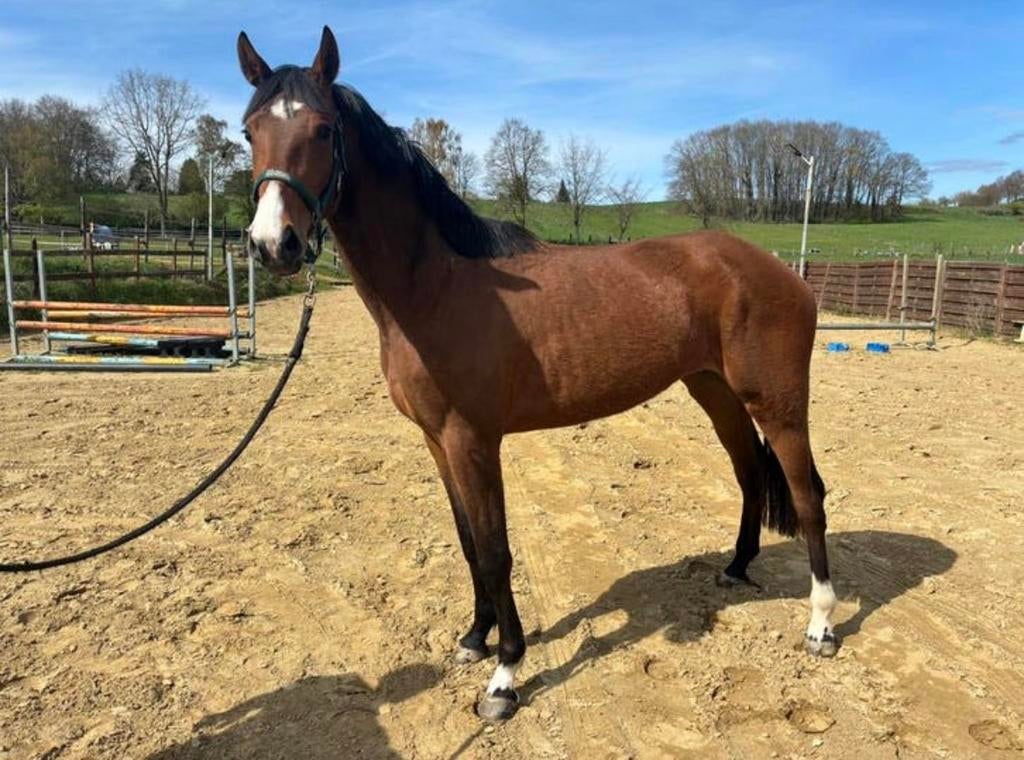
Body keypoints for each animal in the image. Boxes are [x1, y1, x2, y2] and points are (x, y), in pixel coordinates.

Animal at [236, 26, 835, 722]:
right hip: (714, 390)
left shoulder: (473, 440)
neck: (435, 287)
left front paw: (504, 675)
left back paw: (821, 625)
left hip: (779, 403)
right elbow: (468, 543)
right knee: (747, 473)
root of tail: (783, 273)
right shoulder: (436, 442)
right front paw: (474, 637)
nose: (273, 244)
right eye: (250, 131)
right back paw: (737, 568)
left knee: (808, 494)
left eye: (324, 129)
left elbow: (496, 550)